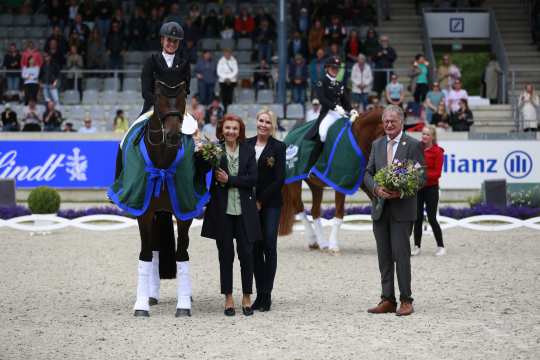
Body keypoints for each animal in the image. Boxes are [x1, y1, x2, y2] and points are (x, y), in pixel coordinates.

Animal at [278, 109, 384, 253]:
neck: (358, 138)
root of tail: (289, 136)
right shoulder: (341, 183)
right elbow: (339, 213)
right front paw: (334, 246)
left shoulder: (365, 184)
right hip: (294, 181)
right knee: (299, 208)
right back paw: (313, 241)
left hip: (315, 185)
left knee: (315, 211)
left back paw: (322, 243)